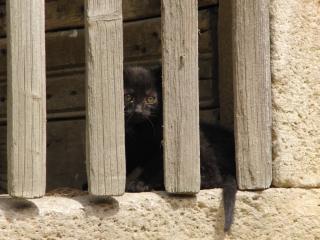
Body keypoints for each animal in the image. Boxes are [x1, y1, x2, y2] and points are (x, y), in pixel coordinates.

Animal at [125, 65, 238, 231]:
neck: (140, 130)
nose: (138, 111)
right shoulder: (129, 147)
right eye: (128, 97)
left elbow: (155, 166)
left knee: (215, 178)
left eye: (150, 99)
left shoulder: (162, 148)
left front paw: (139, 183)